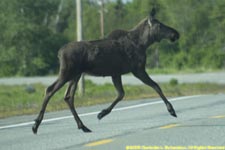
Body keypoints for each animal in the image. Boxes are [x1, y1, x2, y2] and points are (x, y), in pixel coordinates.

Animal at [32, 9, 179, 134]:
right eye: (160, 25)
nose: (176, 33)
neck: (144, 43)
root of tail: (59, 52)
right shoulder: (137, 70)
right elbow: (156, 86)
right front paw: (171, 110)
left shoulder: (116, 73)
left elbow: (121, 94)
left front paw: (102, 113)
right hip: (67, 73)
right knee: (50, 90)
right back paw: (36, 125)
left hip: (76, 75)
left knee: (68, 97)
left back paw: (83, 126)